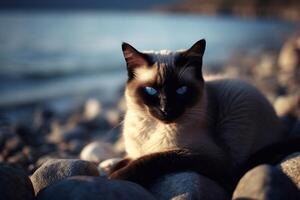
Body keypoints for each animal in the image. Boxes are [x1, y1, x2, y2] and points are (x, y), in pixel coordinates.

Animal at [108, 39, 300, 194]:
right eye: (151, 90)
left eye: (181, 90)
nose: (166, 109)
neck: (151, 129)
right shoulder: (133, 152)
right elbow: (124, 161)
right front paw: (110, 171)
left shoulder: (200, 155)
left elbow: (150, 160)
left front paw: (115, 178)